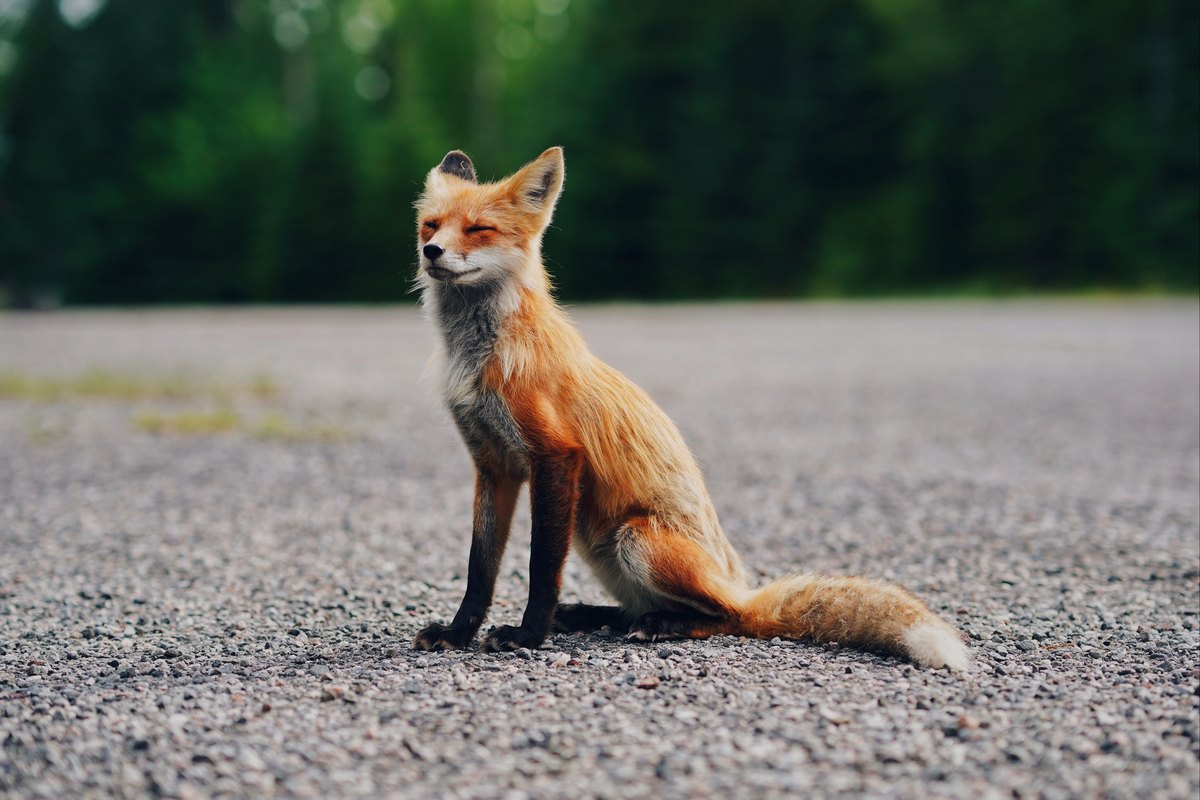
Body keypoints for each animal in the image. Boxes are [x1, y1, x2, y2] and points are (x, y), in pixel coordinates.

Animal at [408, 146, 969, 671]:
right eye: (430, 225)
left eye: (479, 229)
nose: (431, 251)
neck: (481, 356)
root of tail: (740, 583)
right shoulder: (493, 465)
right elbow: (480, 568)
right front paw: (458, 633)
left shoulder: (555, 455)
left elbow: (540, 567)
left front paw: (527, 636)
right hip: (595, 540)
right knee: (648, 608)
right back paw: (598, 616)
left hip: (635, 540)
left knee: (729, 617)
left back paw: (662, 624)